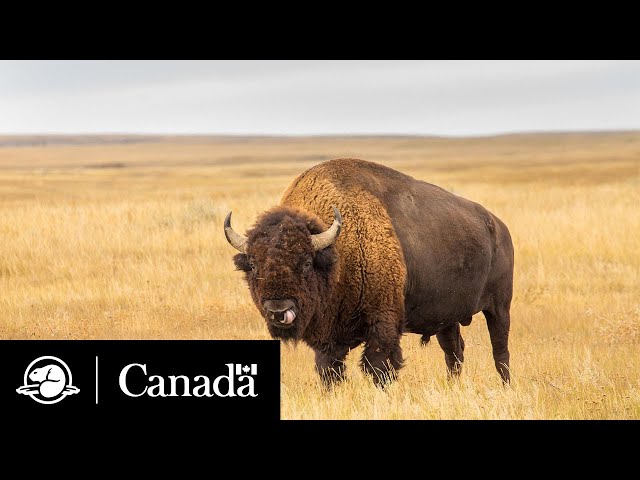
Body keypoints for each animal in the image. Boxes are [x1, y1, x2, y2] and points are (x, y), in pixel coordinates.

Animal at [225, 159, 516, 388]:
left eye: (306, 263)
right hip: (448, 316)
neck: (337, 253)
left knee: (500, 349)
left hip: (499, 306)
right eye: (254, 265)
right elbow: (329, 370)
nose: (278, 310)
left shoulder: (382, 323)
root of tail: (498, 226)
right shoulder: (327, 338)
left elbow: (378, 366)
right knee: (454, 351)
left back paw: (506, 386)